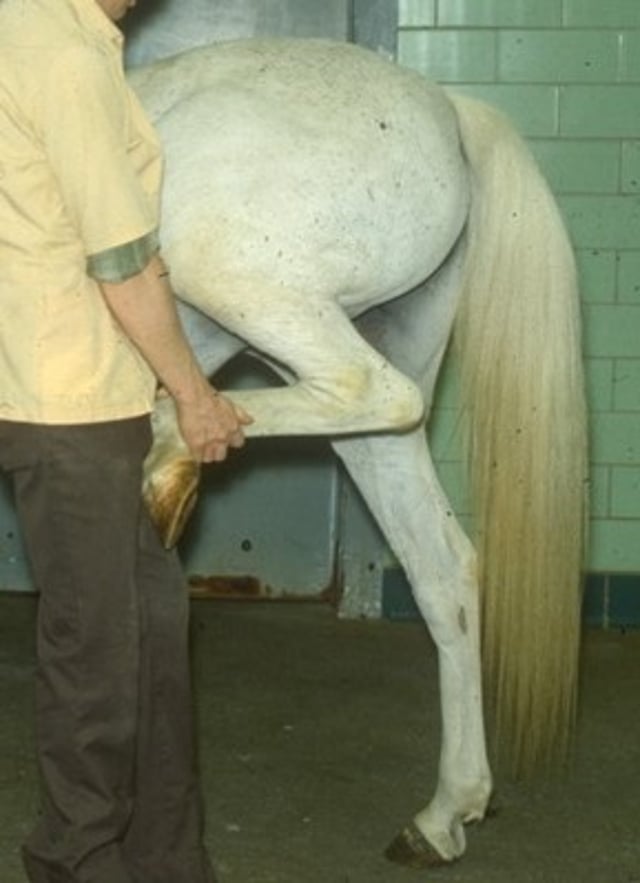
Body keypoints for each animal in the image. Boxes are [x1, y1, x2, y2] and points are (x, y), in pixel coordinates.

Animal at [126, 38, 592, 868]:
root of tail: (447, 109)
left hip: (229, 271)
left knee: (369, 388)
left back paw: (170, 450)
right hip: (360, 404)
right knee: (444, 564)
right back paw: (444, 814)